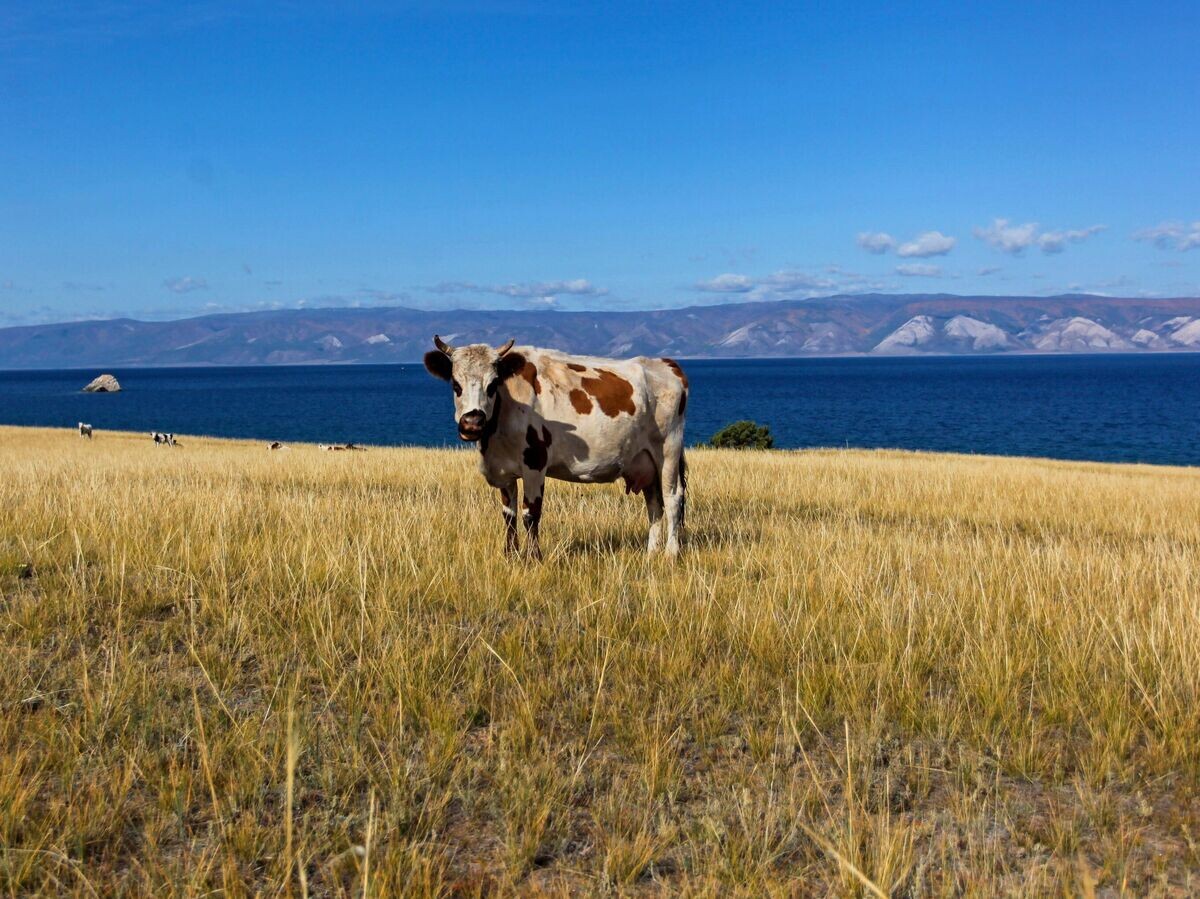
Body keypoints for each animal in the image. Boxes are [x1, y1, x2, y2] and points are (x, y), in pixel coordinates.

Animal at [424, 336, 688, 559]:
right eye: (455, 385)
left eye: (493, 384)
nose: (472, 422)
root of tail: (666, 364)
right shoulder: (503, 470)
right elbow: (509, 515)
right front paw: (510, 555)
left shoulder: (535, 463)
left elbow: (531, 514)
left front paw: (534, 558)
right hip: (644, 461)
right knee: (654, 504)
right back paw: (651, 553)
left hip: (668, 451)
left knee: (672, 499)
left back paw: (670, 553)